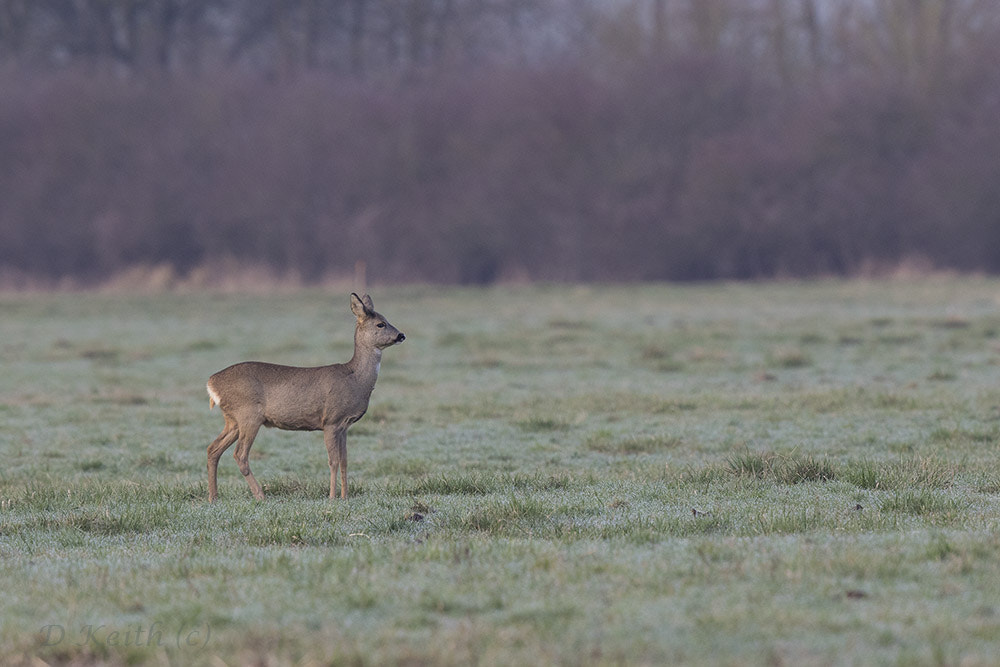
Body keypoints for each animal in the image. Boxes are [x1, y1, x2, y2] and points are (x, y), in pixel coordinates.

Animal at [205, 292, 404, 500]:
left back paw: (213, 497)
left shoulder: (344, 426)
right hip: (248, 415)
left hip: (233, 420)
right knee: (240, 454)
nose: (401, 335)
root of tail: (211, 382)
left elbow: (344, 461)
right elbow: (333, 461)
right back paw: (260, 496)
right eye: (380, 324)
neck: (355, 378)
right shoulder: (331, 421)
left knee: (213, 449)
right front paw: (332, 497)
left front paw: (344, 496)